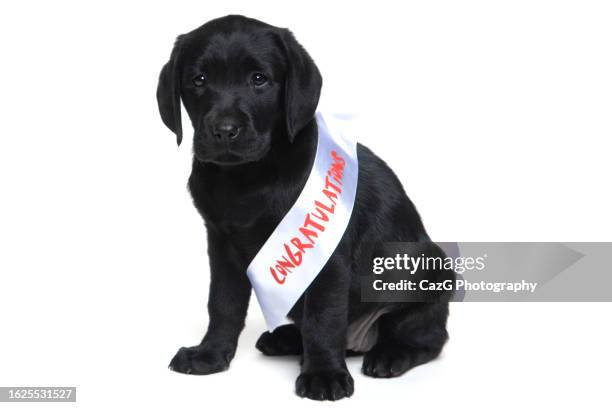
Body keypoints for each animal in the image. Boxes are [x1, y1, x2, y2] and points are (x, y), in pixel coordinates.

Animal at [158, 15, 452, 402]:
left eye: (259, 79)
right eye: (199, 80)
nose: (224, 130)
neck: (247, 178)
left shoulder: (326, 256)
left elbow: (322, 317)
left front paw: (323, 374)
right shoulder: (221, 245)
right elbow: (222, 304)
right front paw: (210, 354)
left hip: (430, 271)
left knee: (427, 336)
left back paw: (389, 355)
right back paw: (283, 338)